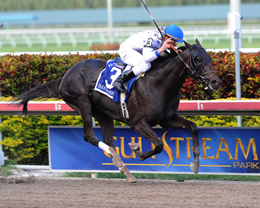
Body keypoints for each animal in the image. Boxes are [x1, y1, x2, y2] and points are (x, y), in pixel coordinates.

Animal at [13, 39, 221, 183]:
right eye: (198, 59)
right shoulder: (137, 122)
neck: (158, 83)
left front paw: (195, 164)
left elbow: (193, 127)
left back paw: (124, 169)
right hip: (82, 103)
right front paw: (137, 151)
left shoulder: (167, 118)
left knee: (108, 141)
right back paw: (121, 163)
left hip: (104, 115)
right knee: (90, 136)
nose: (215, 82)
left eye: (210, 58)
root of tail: (64, 76)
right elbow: (158, 144)